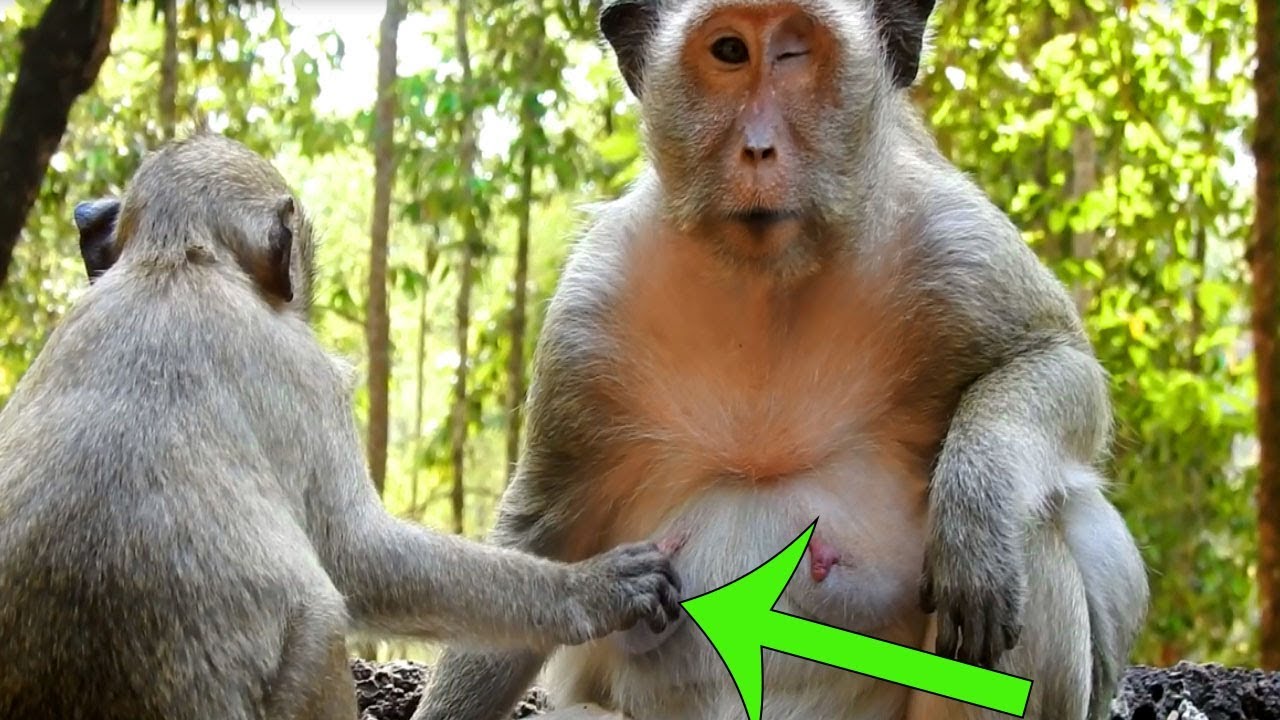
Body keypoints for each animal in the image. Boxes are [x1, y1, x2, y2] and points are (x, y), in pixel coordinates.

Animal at [413, 1, 1149, 719]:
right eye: (729, 52)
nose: (759, 148)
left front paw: (975, 512)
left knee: (1035, 522)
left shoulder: (947, 236)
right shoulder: (590, 311)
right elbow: (543, 535)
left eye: (795, 52)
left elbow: (1054, 361)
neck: (768, 281)